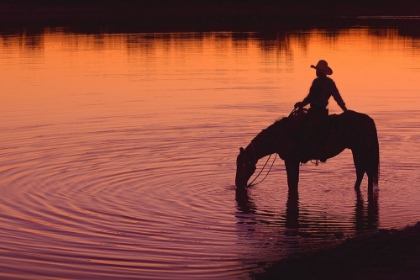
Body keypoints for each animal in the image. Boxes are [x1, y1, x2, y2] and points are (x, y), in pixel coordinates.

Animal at [235, 109, 378, 192]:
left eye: (243, 165)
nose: (237, 184)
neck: (280, 135)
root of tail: (369, 120)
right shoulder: (293, 161)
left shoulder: (291, 160)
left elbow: (292, 183)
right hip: (359, 151)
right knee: (365, 172)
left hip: (360, 151)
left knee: (364, 171)